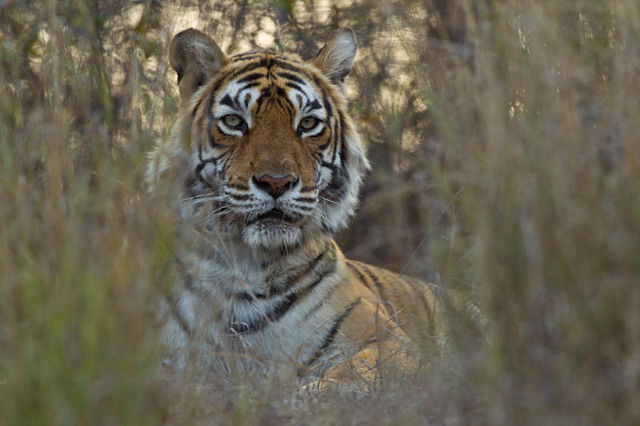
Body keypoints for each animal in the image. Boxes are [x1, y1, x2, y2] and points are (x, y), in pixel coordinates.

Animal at [147, 27, 480, 390]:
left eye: (307, 124)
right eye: (234, 121)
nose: (276, 182)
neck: (248, 266)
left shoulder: (390, 343)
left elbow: (343, 378)